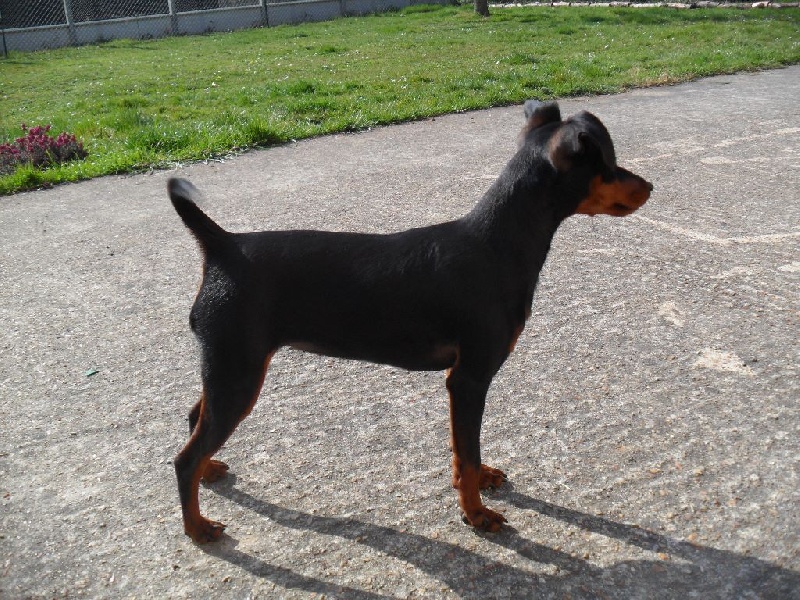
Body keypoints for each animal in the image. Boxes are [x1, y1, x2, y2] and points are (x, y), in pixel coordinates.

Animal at [168, 100, 652, 543]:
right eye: (608, 165)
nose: (650, 185)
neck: (499, 244)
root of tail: (222, 247)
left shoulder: (462, 383)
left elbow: (464, 449)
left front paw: (477, 483)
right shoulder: (469, 378)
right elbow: (467, 449)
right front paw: (477, 514)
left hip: (230, 366)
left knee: (195, 419)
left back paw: (210, 471)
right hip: (238, 371)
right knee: (184, 458)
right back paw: (197, 526)